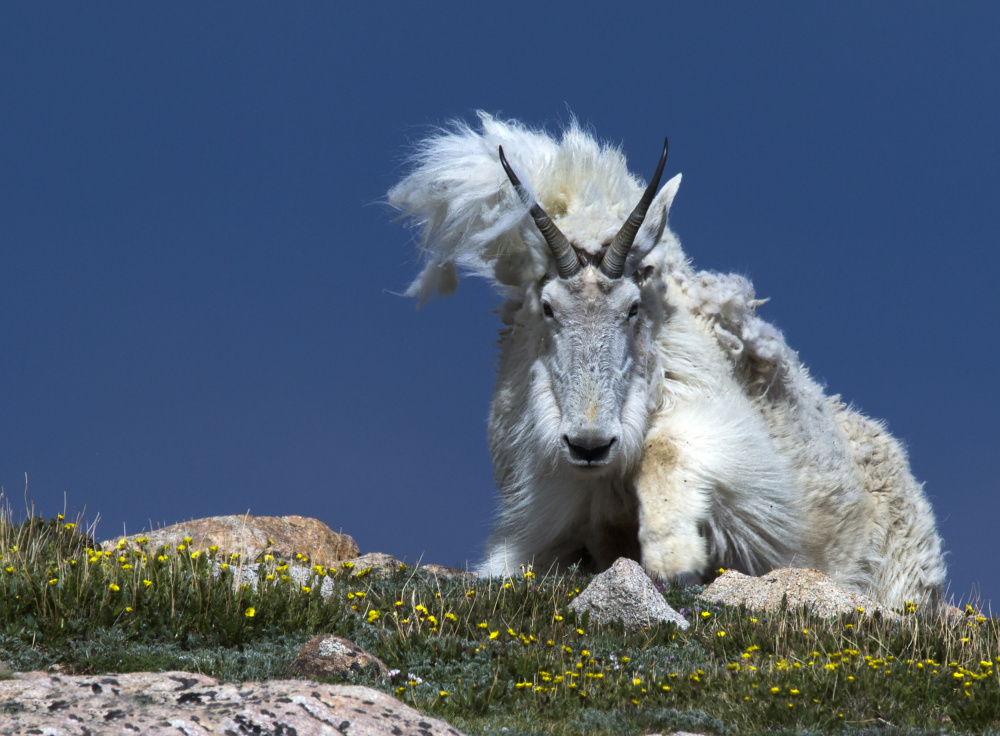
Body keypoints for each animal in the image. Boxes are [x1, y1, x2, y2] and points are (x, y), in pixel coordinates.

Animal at [388, 113, 944, 608]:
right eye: (547, 307)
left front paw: (675, 557)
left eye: (633, 307)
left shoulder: (740, 457)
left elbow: (668, 449)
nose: (589, 445)